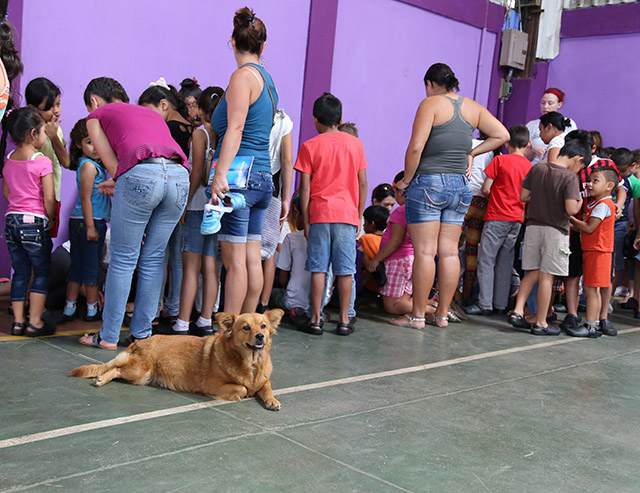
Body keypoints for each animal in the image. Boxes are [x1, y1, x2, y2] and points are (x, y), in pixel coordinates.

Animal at [69, 309, 283, 411]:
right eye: (246, 328)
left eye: (263, 326)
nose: (260, 337)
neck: (251, 363)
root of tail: (139, 341)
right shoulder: (213, 385)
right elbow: (243, 389)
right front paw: (244, 392)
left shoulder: (263, 380)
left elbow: (266, 388)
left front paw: (272, 401)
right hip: (139, 372)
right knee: (114, 369)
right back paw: (100, 379)